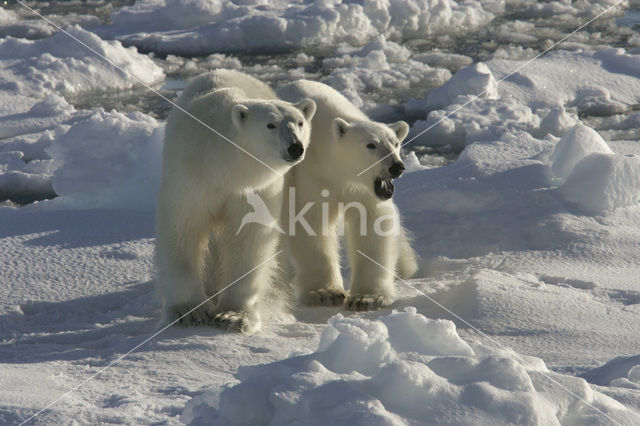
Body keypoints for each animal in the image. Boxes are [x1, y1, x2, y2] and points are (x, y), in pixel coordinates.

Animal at [158, 70, 318, 332]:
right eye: (271, 124)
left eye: (300, 123)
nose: (295, 147)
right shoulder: (190, 176)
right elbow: (184, 229)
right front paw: (188, 312)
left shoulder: (257, 190)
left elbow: (249, 240)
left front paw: (233, 316)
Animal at [276, 80, 418, 312]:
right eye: (371, 144)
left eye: (395, 143)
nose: (397, 166)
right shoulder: (311, 177)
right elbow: (310, 221)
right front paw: (325, 293)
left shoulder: (364, 191)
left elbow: (374, 223)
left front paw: (368, 297)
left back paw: (406, 267)